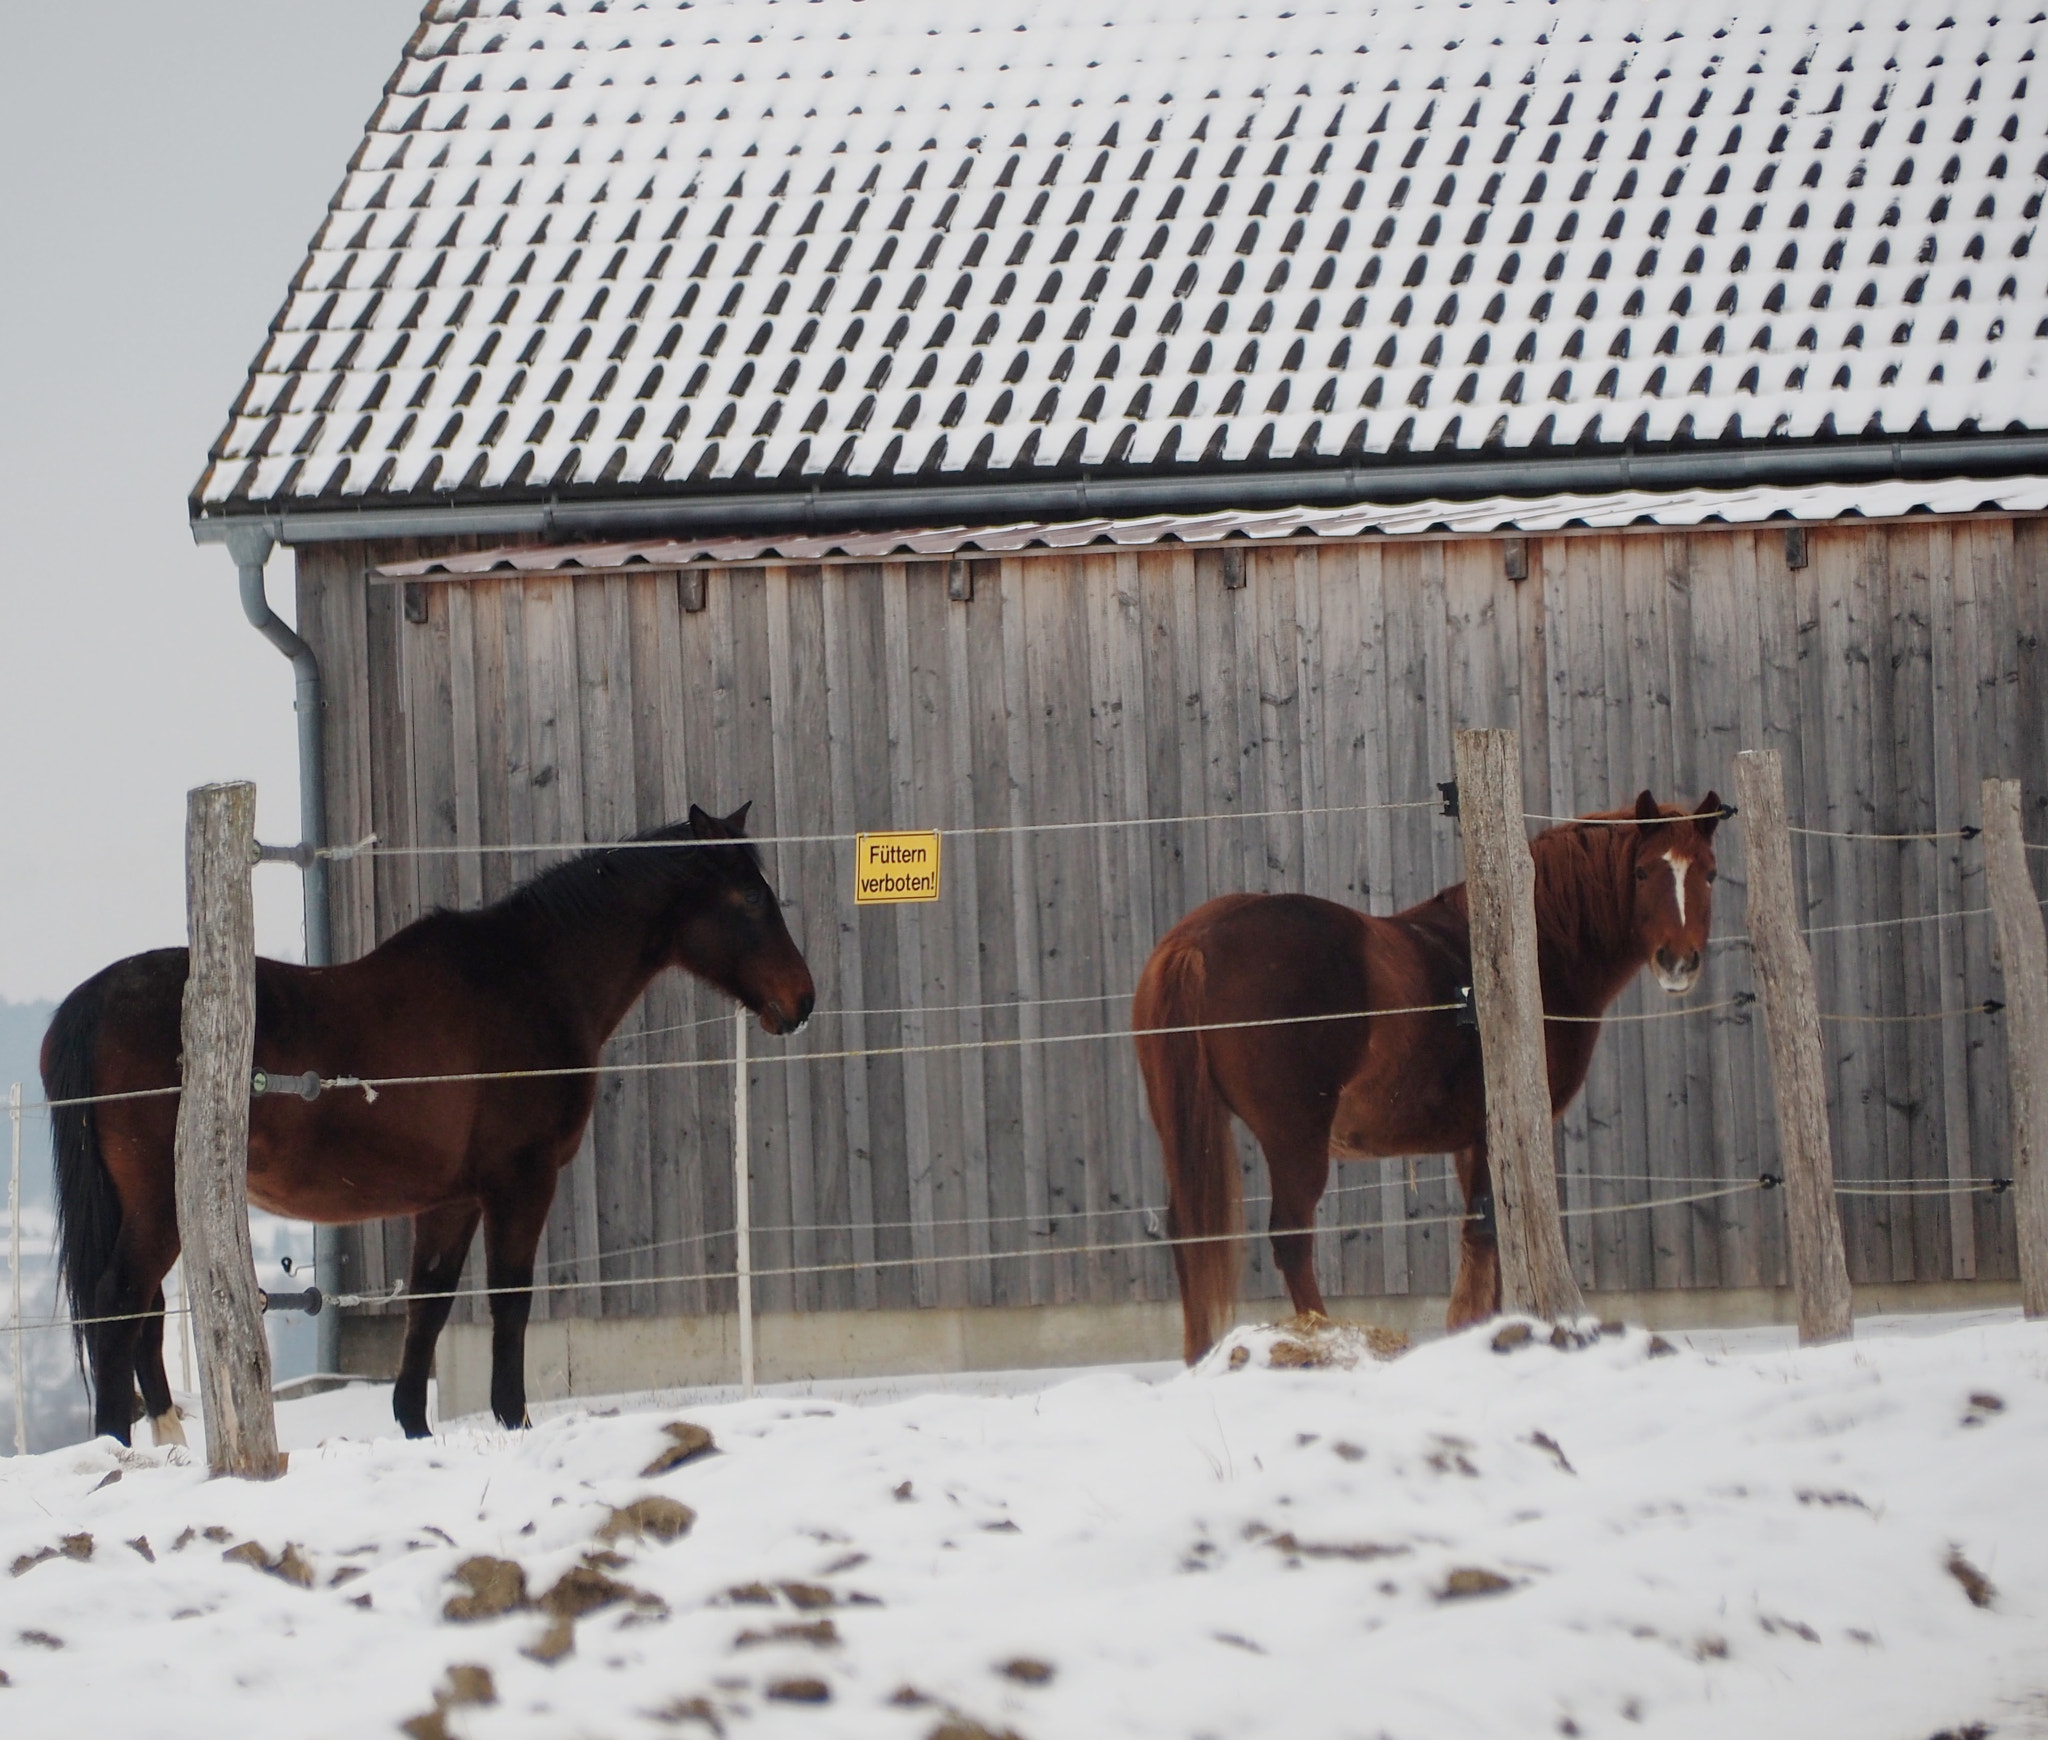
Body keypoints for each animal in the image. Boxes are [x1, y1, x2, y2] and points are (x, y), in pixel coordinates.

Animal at [44, 803, 815, 1446]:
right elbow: (509, 1299)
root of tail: (90, 1003)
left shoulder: (450, 1202)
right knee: (119, 1301)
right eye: (750, 897)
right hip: (159, 1204)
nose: (802, 1000)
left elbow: (430, 1305)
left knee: (142, 1314)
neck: (530, 979)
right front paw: (513, 1418)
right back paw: (116, 1444)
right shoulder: (520, 1182)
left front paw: (414, 1425)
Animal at [1133, 791, 1724, 1362]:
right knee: (1292, 1237)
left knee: (1188, 1231)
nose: (1678, 962)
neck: (1528, 950)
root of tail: (1195, 941)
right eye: (1643, 871)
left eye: (1710, 873)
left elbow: (1488, 1237)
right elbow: (1486, 1233)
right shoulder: (1493, 1132)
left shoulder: (1470, 1143)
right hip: (1295, 1138)